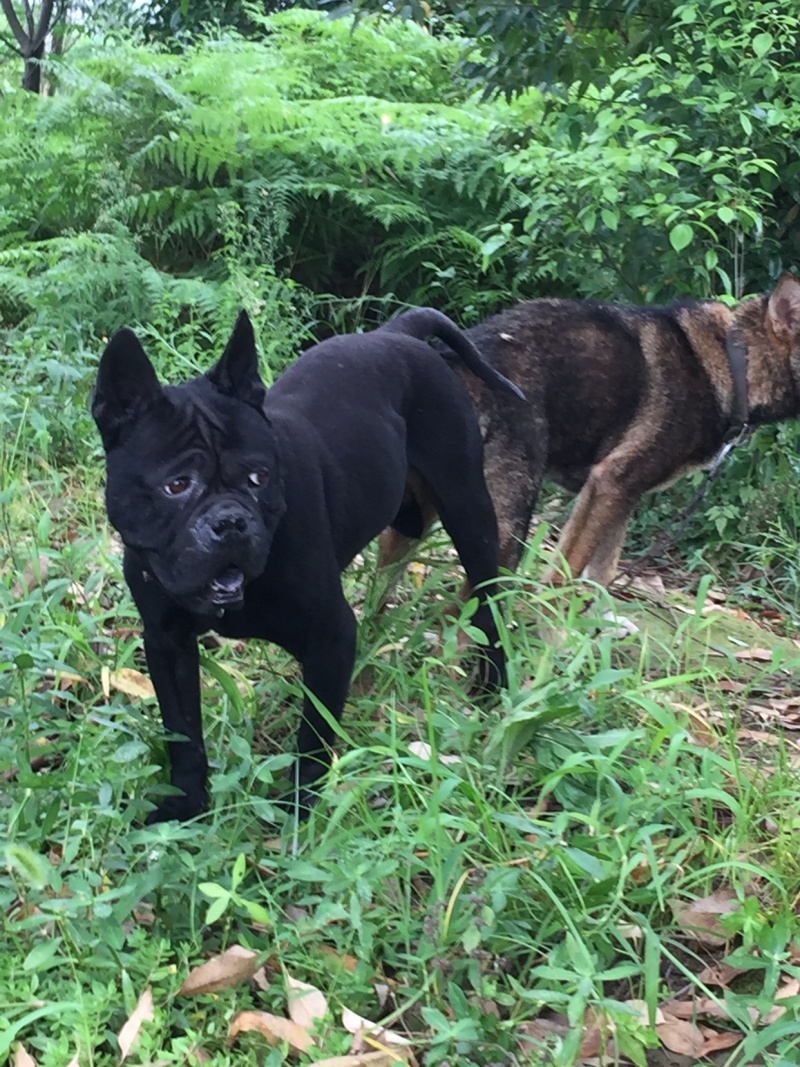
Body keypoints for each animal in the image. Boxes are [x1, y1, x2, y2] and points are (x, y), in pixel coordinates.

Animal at [93, 309, 522, 823]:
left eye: (259, 477)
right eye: (177, 485)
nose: (231, 522)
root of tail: (397, 332)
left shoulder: (329, 638)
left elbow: (313, 734)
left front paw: (299, 810)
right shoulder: (167, 644)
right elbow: (184, 733)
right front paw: (187, 804)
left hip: (469, 509)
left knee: (489, 602)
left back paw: (492, 684)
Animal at [379, 271, 800, 580]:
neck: (736, 362)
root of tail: (452, 362)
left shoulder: (621, 497)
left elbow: (596, 583)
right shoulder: (610, 484)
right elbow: (562, 579)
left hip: (414, 521)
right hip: (501, 529)